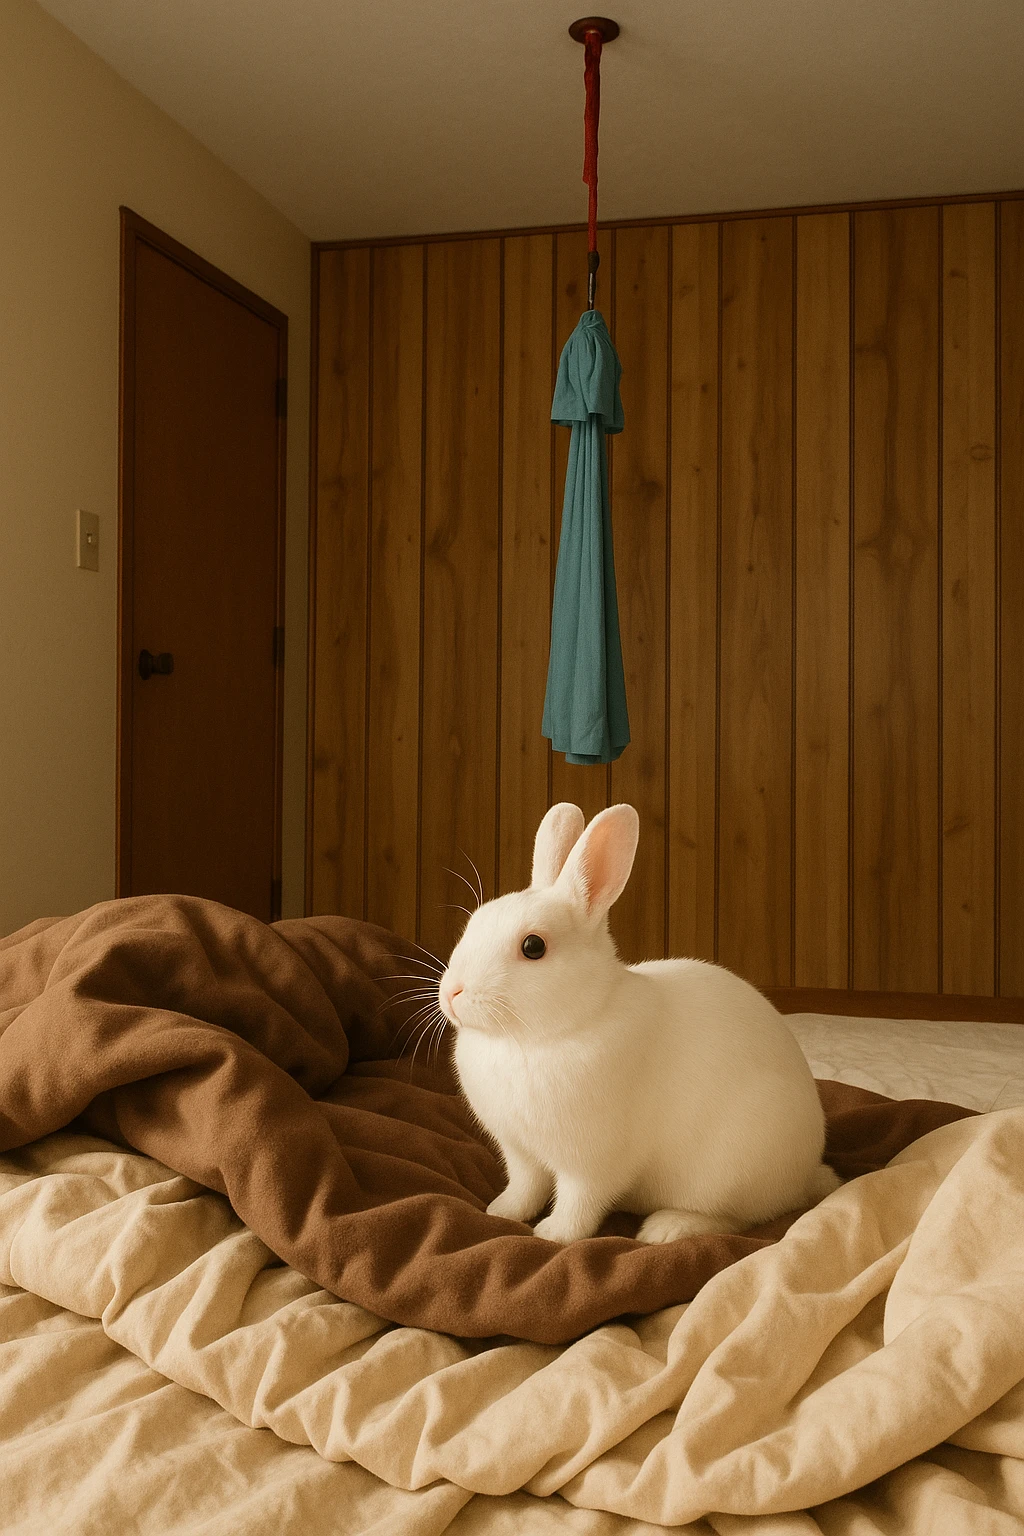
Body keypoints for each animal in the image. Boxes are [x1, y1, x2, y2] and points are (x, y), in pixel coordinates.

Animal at [438, 802, 842, 1245]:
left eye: (533, 947)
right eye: (475, 921)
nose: (452, 992)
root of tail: (807, 1173)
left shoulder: (592, 1161)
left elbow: (580, 1202)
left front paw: (553, 1235)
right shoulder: (521, 1151)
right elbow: (525, 1186)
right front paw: (501, 1212)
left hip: (733, 1172)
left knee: (739, 1220)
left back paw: (665, 1229)